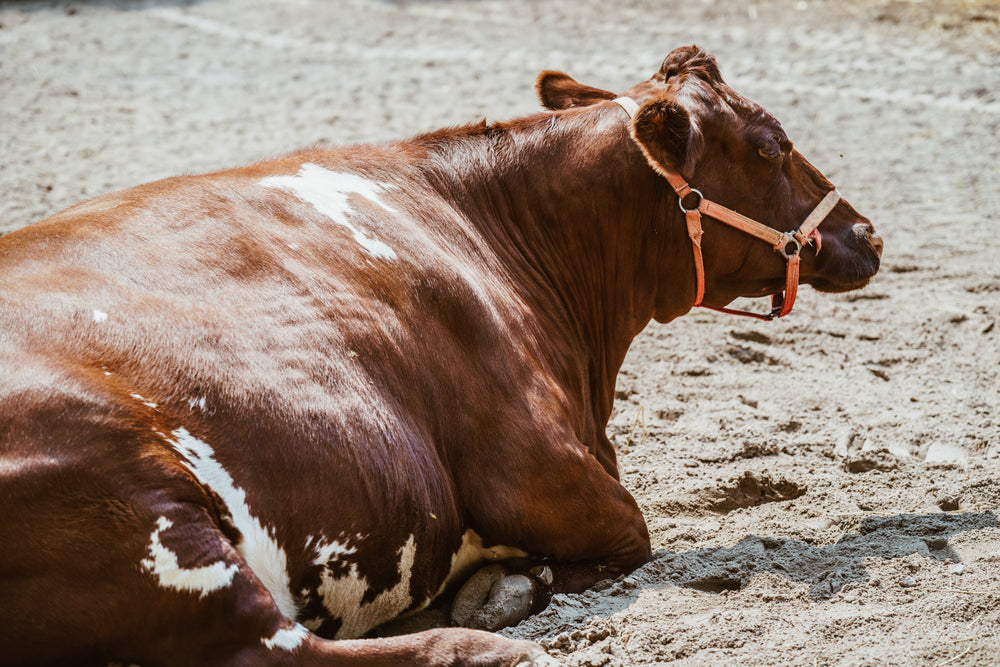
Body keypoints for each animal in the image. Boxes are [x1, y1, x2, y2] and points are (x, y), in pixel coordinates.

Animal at [0, 47, 884, 667]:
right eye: (770, 145)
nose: (868, 233)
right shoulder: (536, 468)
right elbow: (633, 534)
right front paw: (504, 588)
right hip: (149, 506)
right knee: (276, 647)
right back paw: (490, 646)